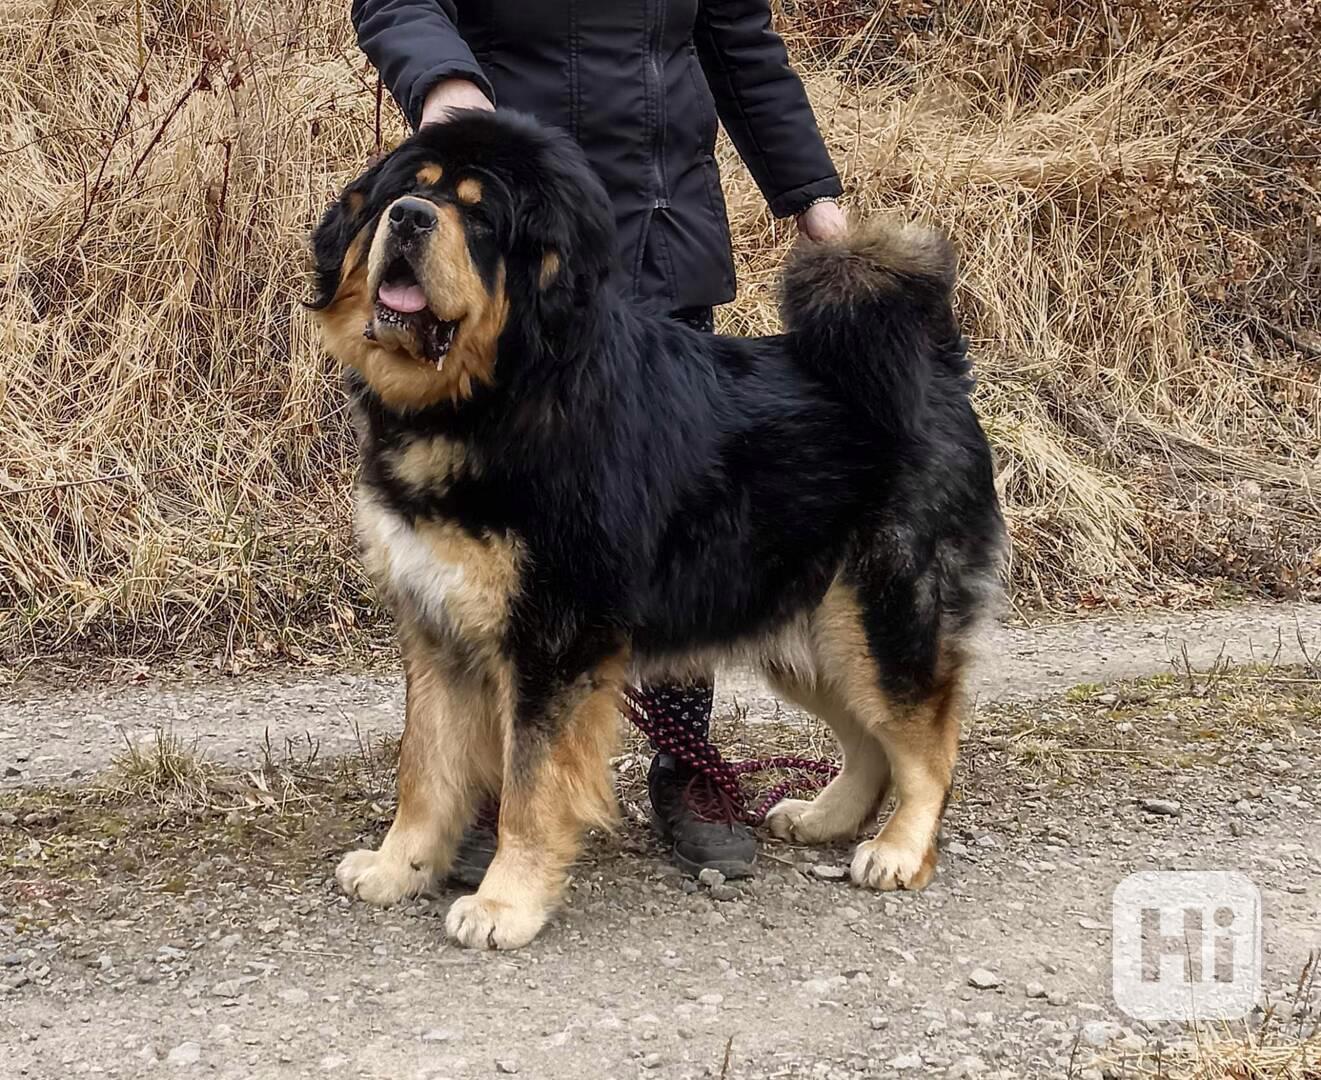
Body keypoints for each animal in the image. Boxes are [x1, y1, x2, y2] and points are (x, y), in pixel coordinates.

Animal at [309, 111, 1003, 950]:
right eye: (405, 192)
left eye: (478, 216)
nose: (409, 219)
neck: (493, 400)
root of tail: (937, 369)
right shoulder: (437, 629)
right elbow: (425, 769)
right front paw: (398, 866)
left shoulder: (554, 643)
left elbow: (528, 786)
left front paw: (507, 901)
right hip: (805, 635)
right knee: (870, 740)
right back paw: (826, 816)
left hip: (878, 620)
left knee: (926, 740)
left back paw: (900, 849)